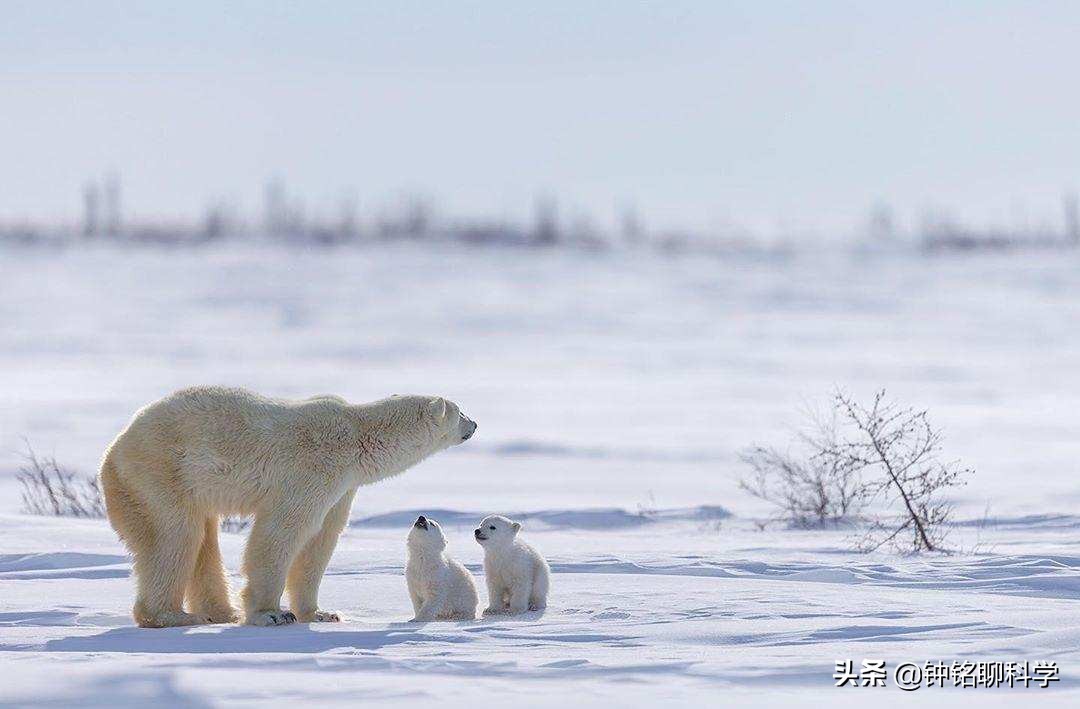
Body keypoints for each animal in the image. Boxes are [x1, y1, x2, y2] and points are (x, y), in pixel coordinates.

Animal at [98, 386, 476, 628]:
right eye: (459, 411)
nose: (474, 424)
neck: (357, 437)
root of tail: (113, 451)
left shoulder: (342, 487)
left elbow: (321, 542)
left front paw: (321, 613)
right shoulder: (313, 468)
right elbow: (283, 531)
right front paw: (271, 613)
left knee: (203, 540)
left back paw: (220, 612)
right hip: (162, 474)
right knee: (175, 537)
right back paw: (173, 616)